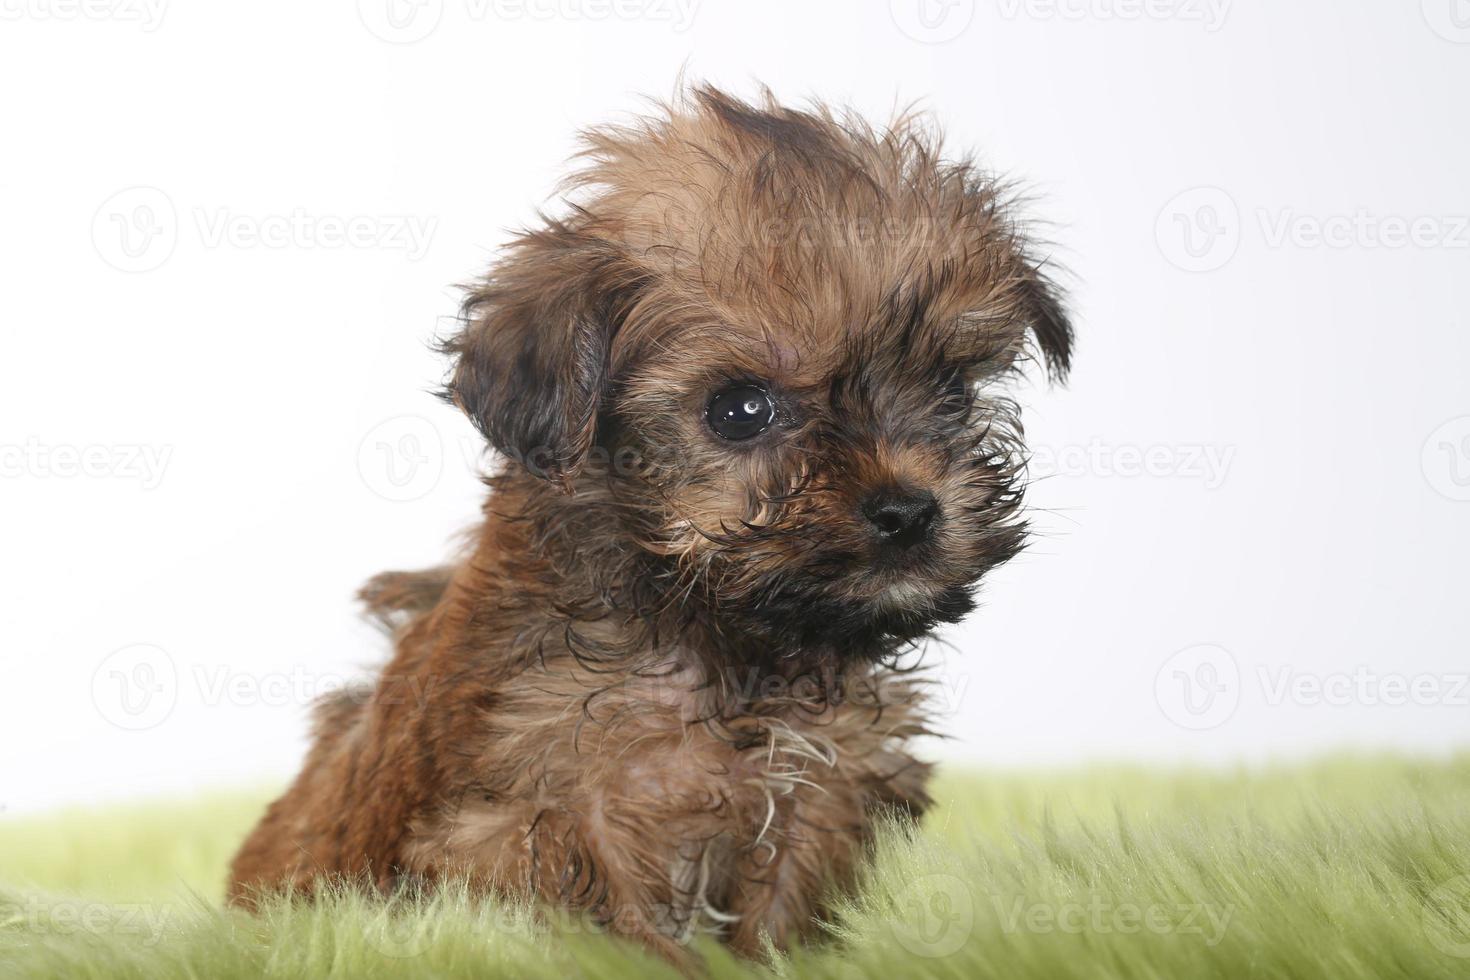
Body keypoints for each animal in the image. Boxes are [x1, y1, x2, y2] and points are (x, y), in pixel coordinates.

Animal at [232, 88, 1081, 963]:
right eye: (739, 410)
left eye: (953, 389)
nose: (909, 510)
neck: (724, 643)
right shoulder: (552, 822)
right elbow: (630, 937)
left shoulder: (823, 786)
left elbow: (780, 929)